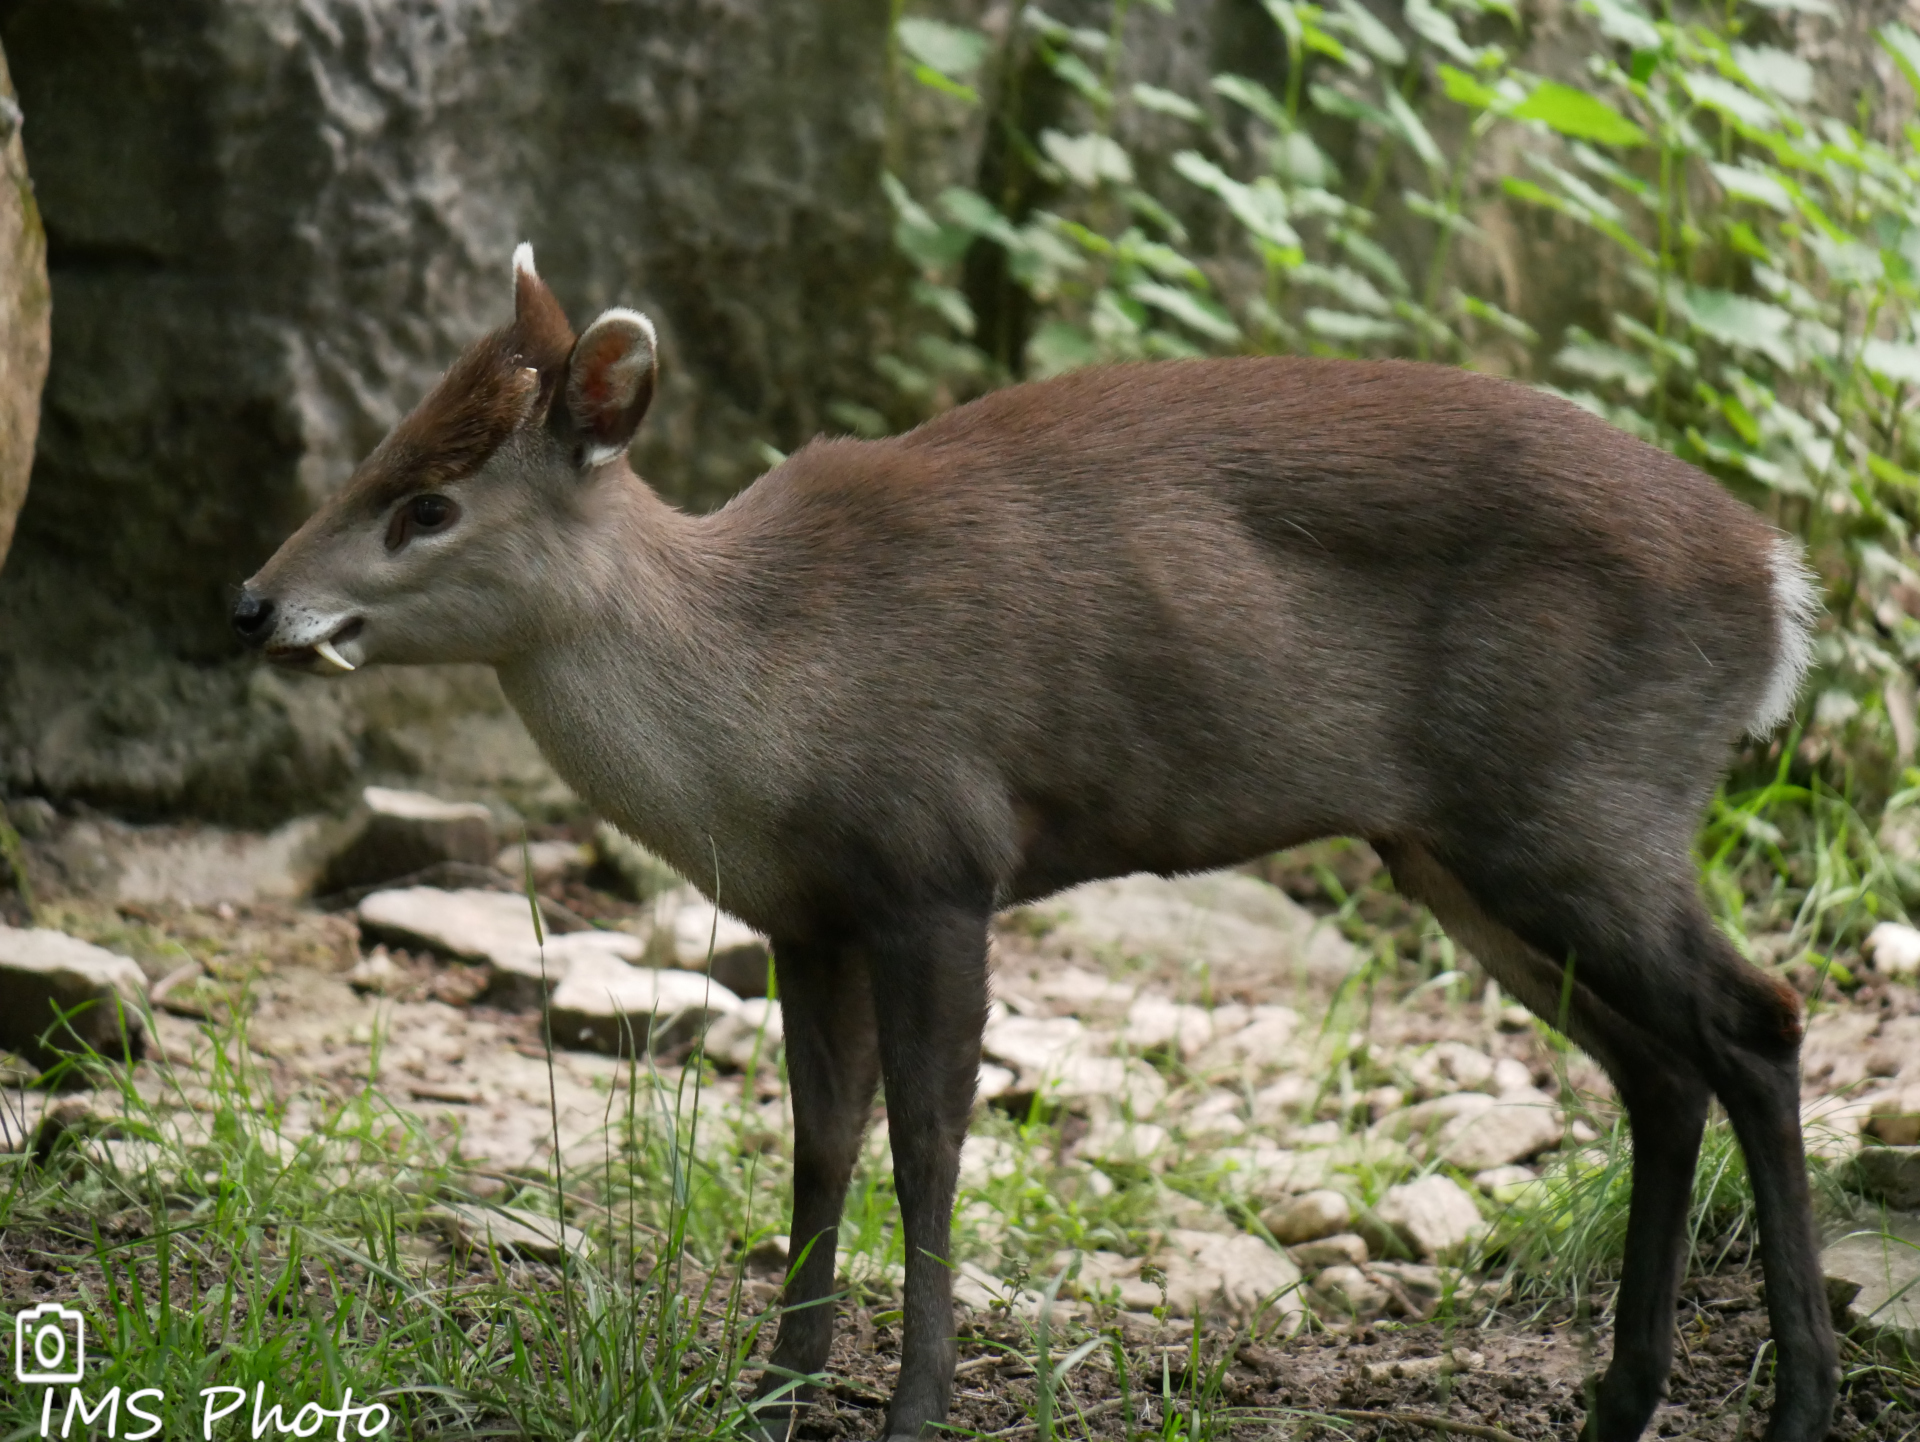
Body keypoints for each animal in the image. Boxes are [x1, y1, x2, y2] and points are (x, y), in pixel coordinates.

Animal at [236, 247, 1827, 1442]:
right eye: (375, 452)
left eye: (428, 503)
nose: (253, 603)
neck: (769, 695)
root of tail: (1777, 588)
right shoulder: (807, 912)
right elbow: (819, 1140)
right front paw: (774, 1389)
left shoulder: (939, 863)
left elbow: (931, 1144)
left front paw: (910, 1405)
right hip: (1460, 851)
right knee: (1659, 1068)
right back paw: (1621, 1399)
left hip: (1584, 811)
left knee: (1756, 1018)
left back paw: (1796, 1399)